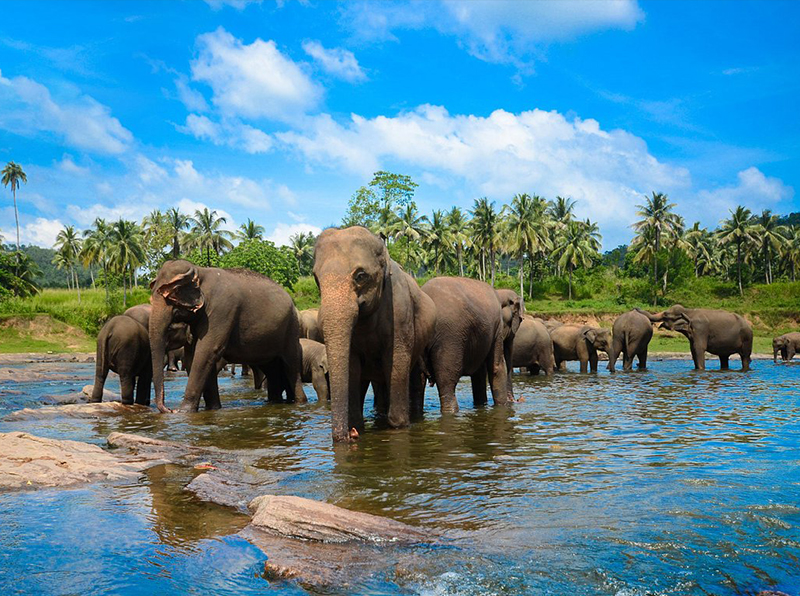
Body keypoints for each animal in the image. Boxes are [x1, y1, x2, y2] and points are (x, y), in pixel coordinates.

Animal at [149, 260, 306, 413]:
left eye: (173, 294)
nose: (169, 409)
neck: (199, 271)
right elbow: (192, 356)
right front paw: (212, 408)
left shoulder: (221, 309)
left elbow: (207, 351)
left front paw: (184, 411)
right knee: (272, 369)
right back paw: (275, 402)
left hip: (291, 329)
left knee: (290, 365)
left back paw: (299, 402)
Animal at [313, 226, 436, 442]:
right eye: (316, 279)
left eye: (360, 276)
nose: (351, 435)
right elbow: (352, 368)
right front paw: (357, 426)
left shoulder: (400, 312)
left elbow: (396, 362)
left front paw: (398, 426)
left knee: (414, 377)